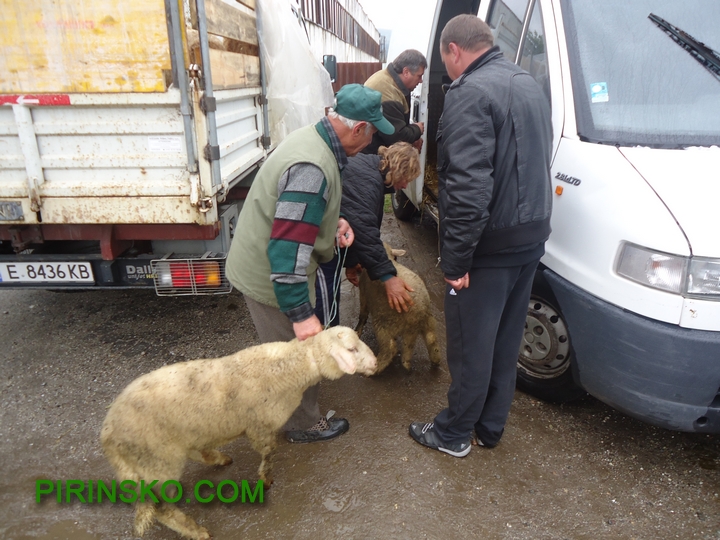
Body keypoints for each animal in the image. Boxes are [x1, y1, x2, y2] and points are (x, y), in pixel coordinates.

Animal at [100, 324, 376, 540]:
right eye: (352, 350)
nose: (374, 363)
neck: (291, 366)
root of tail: (108, 433)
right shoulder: (260, 427)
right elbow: (269, 453)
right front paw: (266, 479)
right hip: (157, 461)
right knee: (162, 509)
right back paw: (196, 531)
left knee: (195, 453)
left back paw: (219, 458)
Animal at [356, 243, 442, 374]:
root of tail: (418, 313)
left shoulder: (363, 294)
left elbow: (363, 314)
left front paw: (358, 330)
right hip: (428, 321)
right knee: (431, 339)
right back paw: (435, 361)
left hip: (384, 322)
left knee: (390, 348)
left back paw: (374, 369)